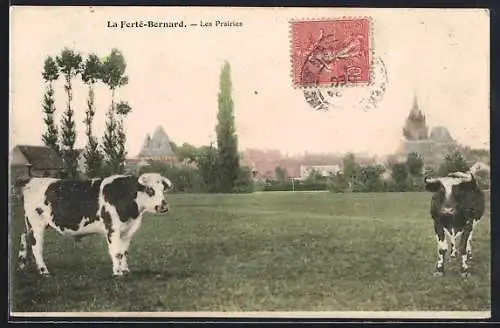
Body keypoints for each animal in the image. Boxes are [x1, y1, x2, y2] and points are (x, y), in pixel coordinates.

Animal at [15, 173, 174, 278]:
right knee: (36, 247)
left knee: (24, 238)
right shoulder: (112, 229)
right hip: (36, 224)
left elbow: (124, 252)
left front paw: (125, 270)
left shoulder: (127, 231)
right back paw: (43, 271)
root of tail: (31, 180)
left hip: (29, 224)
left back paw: (22, 265)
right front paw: (118, 273)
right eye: (150, 190)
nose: (164, 206)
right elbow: (116, 252)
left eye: (163, 189)